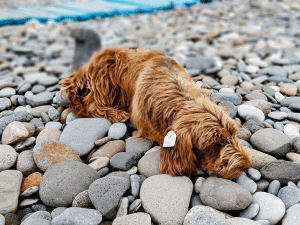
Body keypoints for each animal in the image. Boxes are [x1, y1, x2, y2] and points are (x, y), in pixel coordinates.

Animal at [58, 46, 251, 178]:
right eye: (214, 144)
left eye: (234, 133)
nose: (246, 165)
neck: (176, 94)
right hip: (103, 75)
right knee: (91, 105)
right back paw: (116, 114)